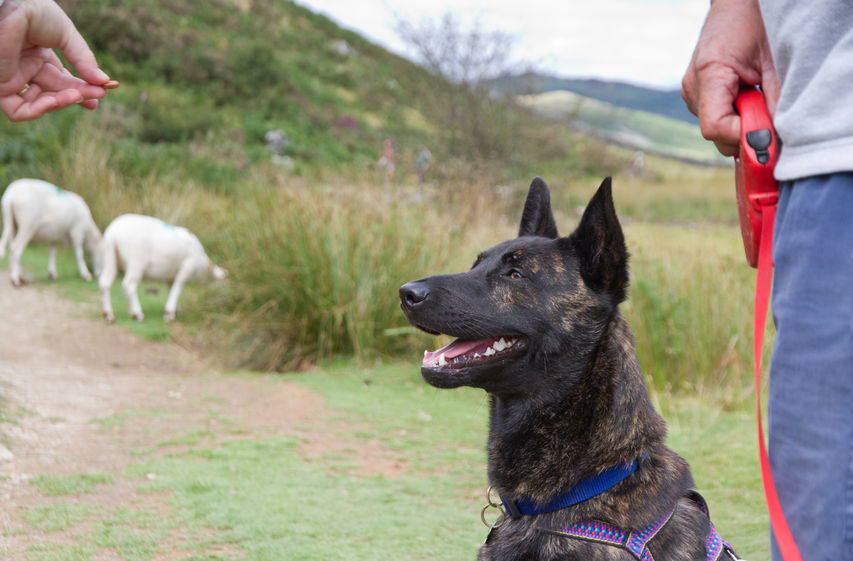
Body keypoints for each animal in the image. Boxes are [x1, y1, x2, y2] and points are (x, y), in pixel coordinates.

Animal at [97, 212, 226, 322]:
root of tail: (113, 232)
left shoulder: (171, 275)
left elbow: (171, 289)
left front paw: (176, 311)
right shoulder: (187, 267)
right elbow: (177, 289)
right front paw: (169, 314)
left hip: (109, 256)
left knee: (105, 282)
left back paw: (108, 315)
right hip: (136, 261)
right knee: (129, 285)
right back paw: (136, 314)